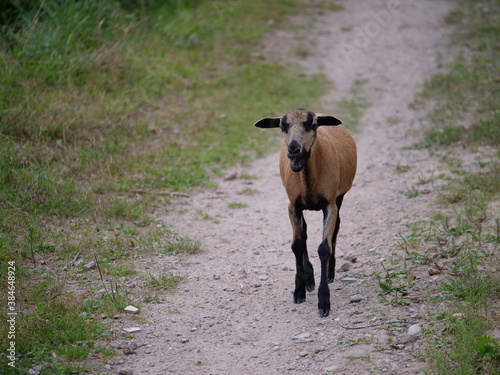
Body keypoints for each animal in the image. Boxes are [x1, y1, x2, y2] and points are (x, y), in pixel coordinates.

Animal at [254, 108, 356, 318]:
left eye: (313, 125)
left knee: (336, 228)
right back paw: (309, 279)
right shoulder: (293, 206)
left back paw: (330, 272)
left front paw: (323, 301)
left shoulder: (330, 204)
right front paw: (299, 290)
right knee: (306, 232)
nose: (293, 149)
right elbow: (297, 245)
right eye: (282, 126)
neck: (308, 180)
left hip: (339, 197)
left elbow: (324, 248)